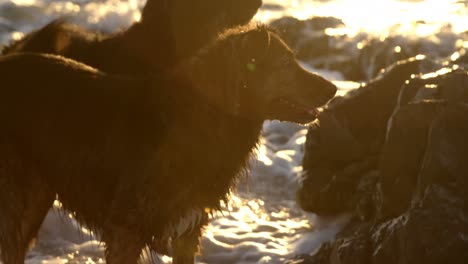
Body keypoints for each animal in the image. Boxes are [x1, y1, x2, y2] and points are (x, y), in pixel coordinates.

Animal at [0, 25, 336, 262]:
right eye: (286, 62)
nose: (333, 88)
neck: (206, 118)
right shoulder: (126, 229)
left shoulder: (189, 229)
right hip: (17, 197)